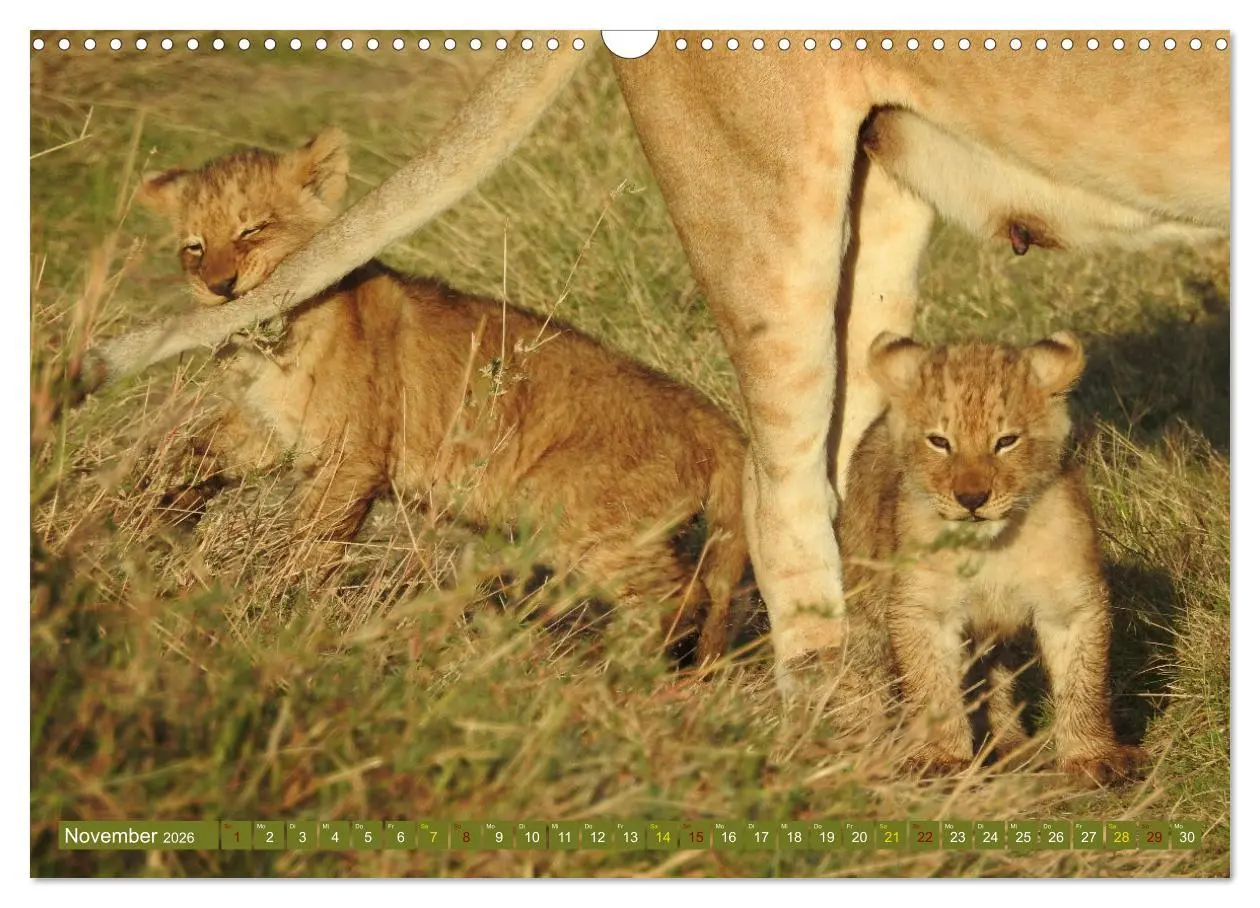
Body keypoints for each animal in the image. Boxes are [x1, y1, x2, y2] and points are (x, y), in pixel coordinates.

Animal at [137, 128, 750, 664]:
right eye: (194, 247)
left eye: (252, 229)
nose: (219, 287)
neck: (277, 343)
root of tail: (713, 419)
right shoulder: (267, 432)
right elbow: (196, 451)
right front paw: (158, 507)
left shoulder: (353, 459)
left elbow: (312, 543)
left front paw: (278, 605)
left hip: (585, 518)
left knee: (679, 600)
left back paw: (612, 673)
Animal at [841, 331, 1145, 782]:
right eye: (939, 441)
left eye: (1006, 441)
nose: (971, 499)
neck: (990, 548)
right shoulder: (923, 610)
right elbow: (931, 686)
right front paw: (939, 758)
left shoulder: (1071, 605)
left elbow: (1083, 684)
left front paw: (1093, 757)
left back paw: (1009, 745)